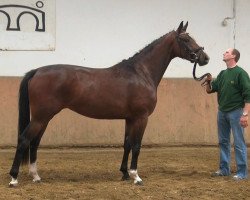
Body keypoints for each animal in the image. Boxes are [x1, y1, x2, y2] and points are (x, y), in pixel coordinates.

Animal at [8, 21, 210, 187]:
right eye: (185, 39)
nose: (205, 58)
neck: (141, 73)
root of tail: (37, 71)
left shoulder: (130, 118)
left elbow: (127, 144)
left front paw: (125, 174)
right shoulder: (141, 117)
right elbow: (137, 145)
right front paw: (136, 176)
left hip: (44, 117)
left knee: (34, 142)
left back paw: (36, 176)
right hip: (41, 117)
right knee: (24, 139)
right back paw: (14, 178)